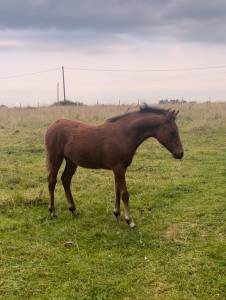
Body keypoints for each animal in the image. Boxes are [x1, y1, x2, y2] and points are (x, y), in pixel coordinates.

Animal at [45, 105, 184, 227]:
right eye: (172, 132)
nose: (180, 153)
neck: (123, 134)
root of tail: (52, 125)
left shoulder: (120, 169)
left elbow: (117, 190)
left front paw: (117, 214)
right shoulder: (118, 168)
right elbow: (124, 193)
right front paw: (129, 220)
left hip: (71, 161)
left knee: (66, 180)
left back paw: (73, 210)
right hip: (56, 158)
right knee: (52, 181)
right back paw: (52, 212)